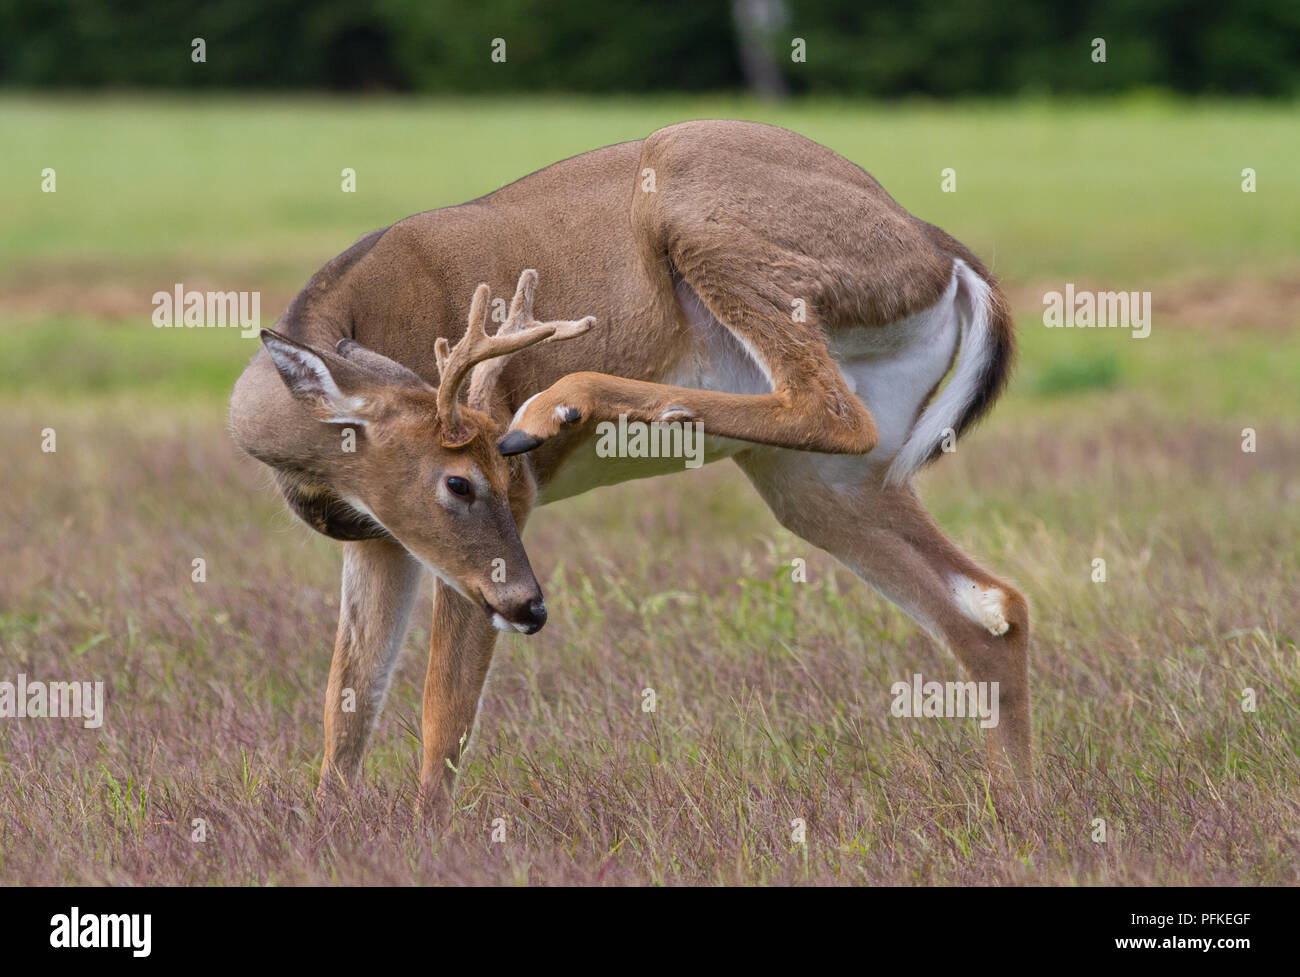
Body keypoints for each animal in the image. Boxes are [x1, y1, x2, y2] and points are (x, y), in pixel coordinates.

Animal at [229, 119, 1031, 821]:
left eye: (492, 480)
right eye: (457, 482)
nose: (532, 607)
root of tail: (941, 252)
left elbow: (442, 710)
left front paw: (426, 838)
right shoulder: (380, 538)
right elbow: (347, 708)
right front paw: (331, 830)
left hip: (697, 197)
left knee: (829, 407)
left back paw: (558, 405)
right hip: (822, 479)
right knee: (990, 607)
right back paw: (1015, 813)